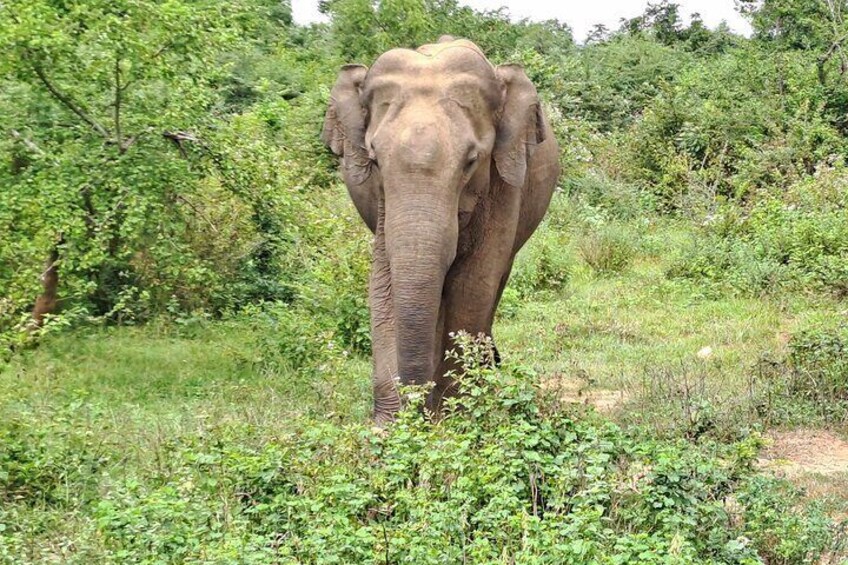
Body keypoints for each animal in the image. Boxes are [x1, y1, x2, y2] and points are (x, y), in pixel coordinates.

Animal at [322, 36, 560, 424]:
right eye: (374, 161)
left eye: (471, 161)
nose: (416, 412)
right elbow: (384, 282)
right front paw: (390, 427)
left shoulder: (503, 182)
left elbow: (472, 283)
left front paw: (455, 415)